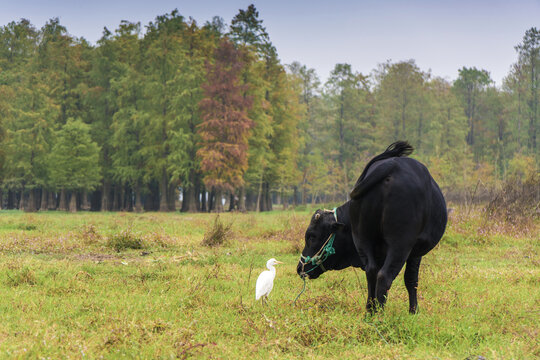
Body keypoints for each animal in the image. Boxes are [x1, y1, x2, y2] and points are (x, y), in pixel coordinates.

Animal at [296, 142, 448, 314]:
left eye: (311, 236)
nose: (299, 268)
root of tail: (391, 165)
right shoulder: (415, 252)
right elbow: (411, 280)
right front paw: (413, 311)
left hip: (363, 239)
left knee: (372, 272)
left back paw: (370, 312)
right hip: (400, 244)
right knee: (384, 276)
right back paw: (380, 314)